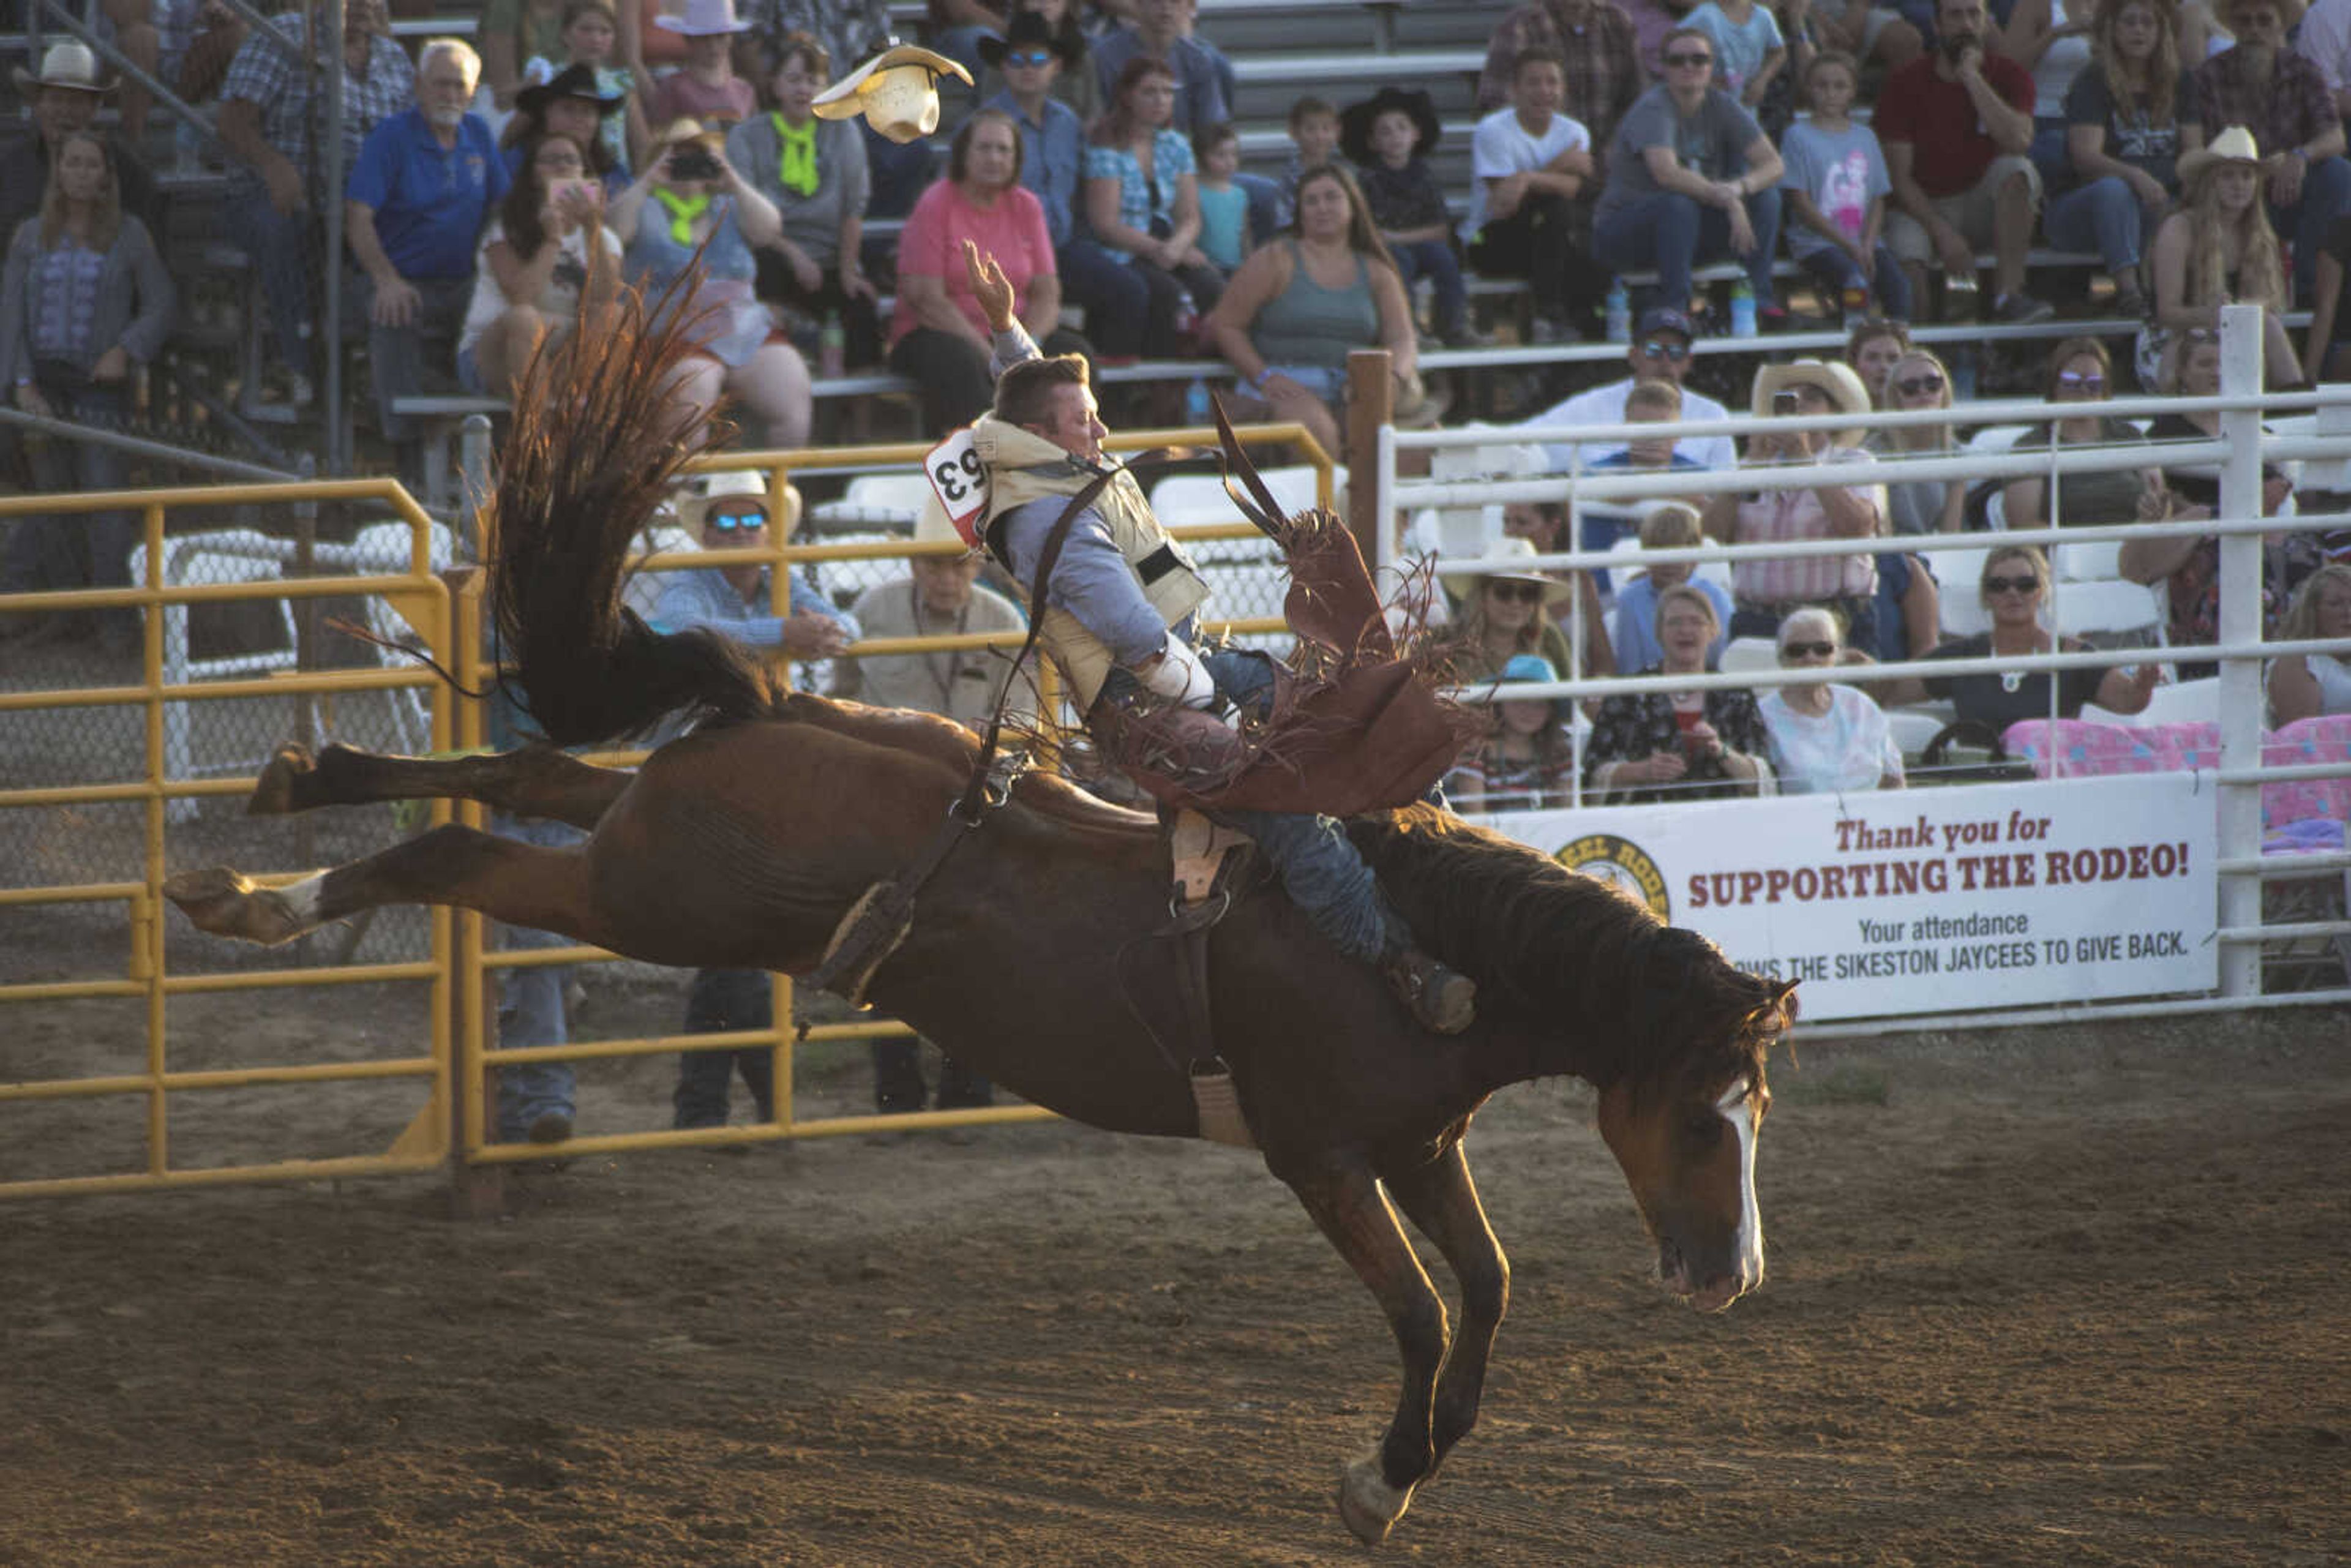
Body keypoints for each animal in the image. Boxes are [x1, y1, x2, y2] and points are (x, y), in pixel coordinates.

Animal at [170, 301, 1796, 1551]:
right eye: (1702, 1113)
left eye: (1756, 1112)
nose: (1730, 1276)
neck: (1418, 946)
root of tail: (777, 706)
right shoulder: (1324, 1155)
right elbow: (1420, 1316)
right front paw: (1369, 1479)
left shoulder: (1420, 1144)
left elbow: (1489, 1298)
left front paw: (1390, 1480)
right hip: (649, 893)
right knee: (465, 841)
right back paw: (266, 894)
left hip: (646, 832)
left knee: (525, 775)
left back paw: (286, 802)